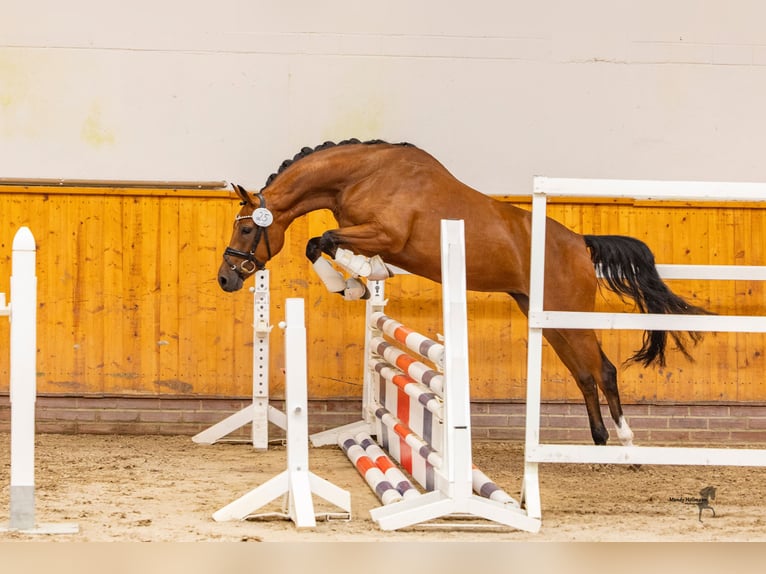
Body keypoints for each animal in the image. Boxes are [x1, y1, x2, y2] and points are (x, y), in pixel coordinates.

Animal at [217, 138, 709, 446]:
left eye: (247, 228)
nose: (226, 278)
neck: (364, 174)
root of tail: (579, 244)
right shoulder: (369, 233)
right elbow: (320, 243)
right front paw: (359, 280)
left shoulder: (384, 234)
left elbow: (323, 241)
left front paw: (355, 280)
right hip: (547, 319)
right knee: (585, 375)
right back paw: (600, 440)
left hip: (567, 313)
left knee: (603, 371)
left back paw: (625, 441)